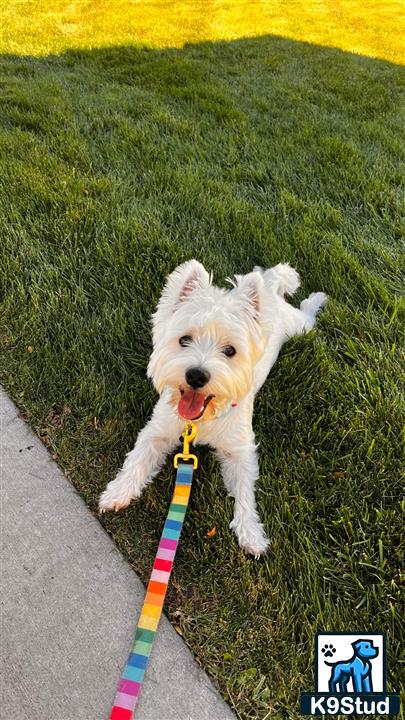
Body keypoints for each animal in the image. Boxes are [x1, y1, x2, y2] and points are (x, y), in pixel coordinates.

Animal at [99, 260, 326, 556]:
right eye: (184, 339)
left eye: (230, 350)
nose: (196, 375)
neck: (202, 419)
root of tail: (271, 290)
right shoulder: (158, 430)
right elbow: (137, 460)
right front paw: (117, 492)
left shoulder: (239, 450)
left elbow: (245, 491)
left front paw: (251, 533)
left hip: (298, 326)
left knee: (307, 312)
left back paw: (319, 300)